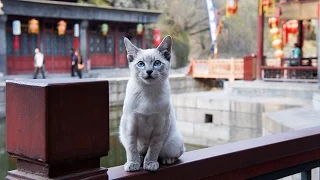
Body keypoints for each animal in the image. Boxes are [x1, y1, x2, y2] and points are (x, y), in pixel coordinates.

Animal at [119, 35, 185, 172]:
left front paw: (150, 164)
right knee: (139, 152)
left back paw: (167, 160)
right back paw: (139, 160)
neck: (147, 91)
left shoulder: (160, 126)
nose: (149, 71)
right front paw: (133, 164)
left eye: (157, 63)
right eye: (141, 64)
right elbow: (131, 148)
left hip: (172, 142)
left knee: (172, 153)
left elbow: (153, 149)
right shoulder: (130, 124)